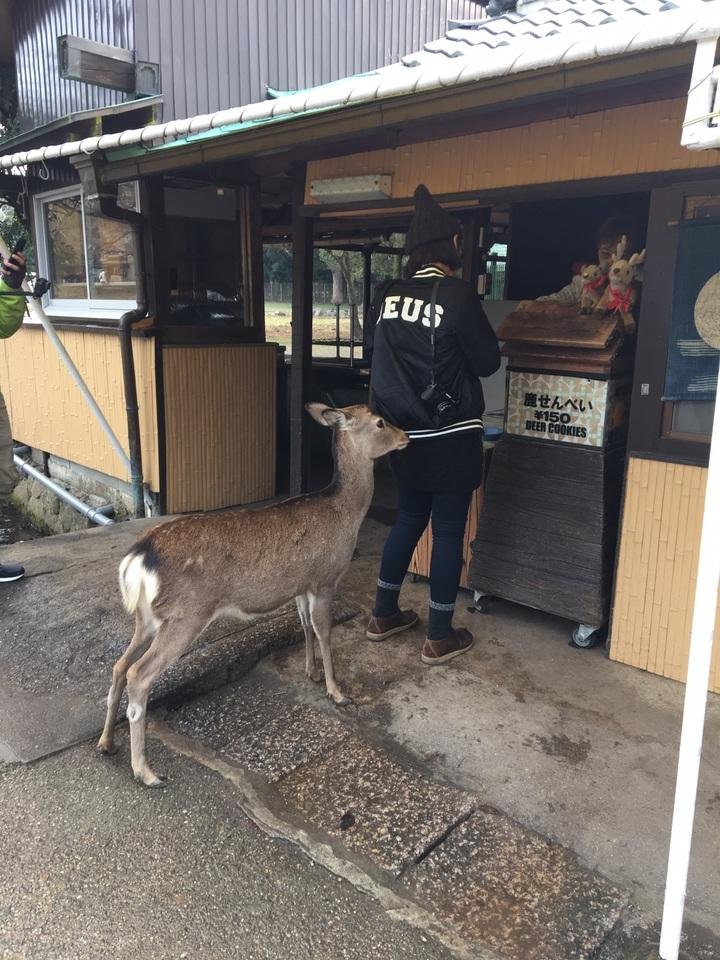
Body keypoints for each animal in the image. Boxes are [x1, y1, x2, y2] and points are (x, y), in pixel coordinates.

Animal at [97, 404, 408, 788]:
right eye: (380, 422)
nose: (406, 436)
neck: (345, 514)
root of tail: (137, 559)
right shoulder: (324, 580)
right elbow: (324, 631)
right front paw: (337, 691)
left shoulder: (300, 586)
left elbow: (305, 626)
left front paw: (311, 672)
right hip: (186, 614)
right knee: (139, 675)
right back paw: (146, 771)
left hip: (147, 617)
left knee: (119, 666)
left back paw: (106, 742)